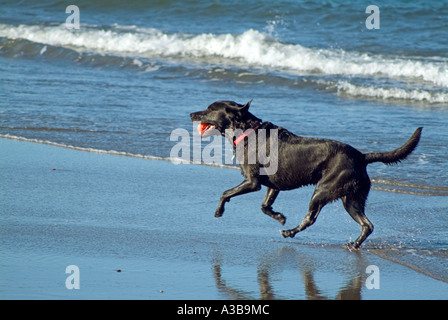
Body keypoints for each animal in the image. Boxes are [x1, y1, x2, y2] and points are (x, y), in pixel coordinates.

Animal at [190, 100, 424, 250]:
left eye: (210, 109)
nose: (191, 114)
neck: (248, 131)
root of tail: (361, 157)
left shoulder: (252, 182)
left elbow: (225, 192)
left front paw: (219, 211)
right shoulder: (272, 185)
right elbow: (265, 206)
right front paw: (279, 217)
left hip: (324, 189)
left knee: (311, 217)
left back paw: (290, 232)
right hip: (351, 198)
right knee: (367, 225)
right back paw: (353, 244)